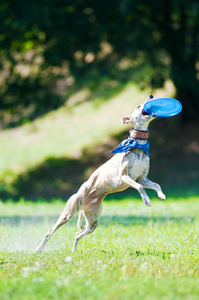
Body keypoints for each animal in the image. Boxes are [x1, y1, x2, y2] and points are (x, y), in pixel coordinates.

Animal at [35, 94, 166, 253]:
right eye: (138, 106)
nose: (151, 96)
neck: (138, 145)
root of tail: (84, 203)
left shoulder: (142, 178)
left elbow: (156, 185)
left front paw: (161, 195)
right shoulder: (124, 176)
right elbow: (140, 188)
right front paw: (147, 200)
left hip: (93, 221)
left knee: (78, 233)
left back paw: (73, 253)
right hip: (69, 212)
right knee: (50, 231)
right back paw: (38, 250)